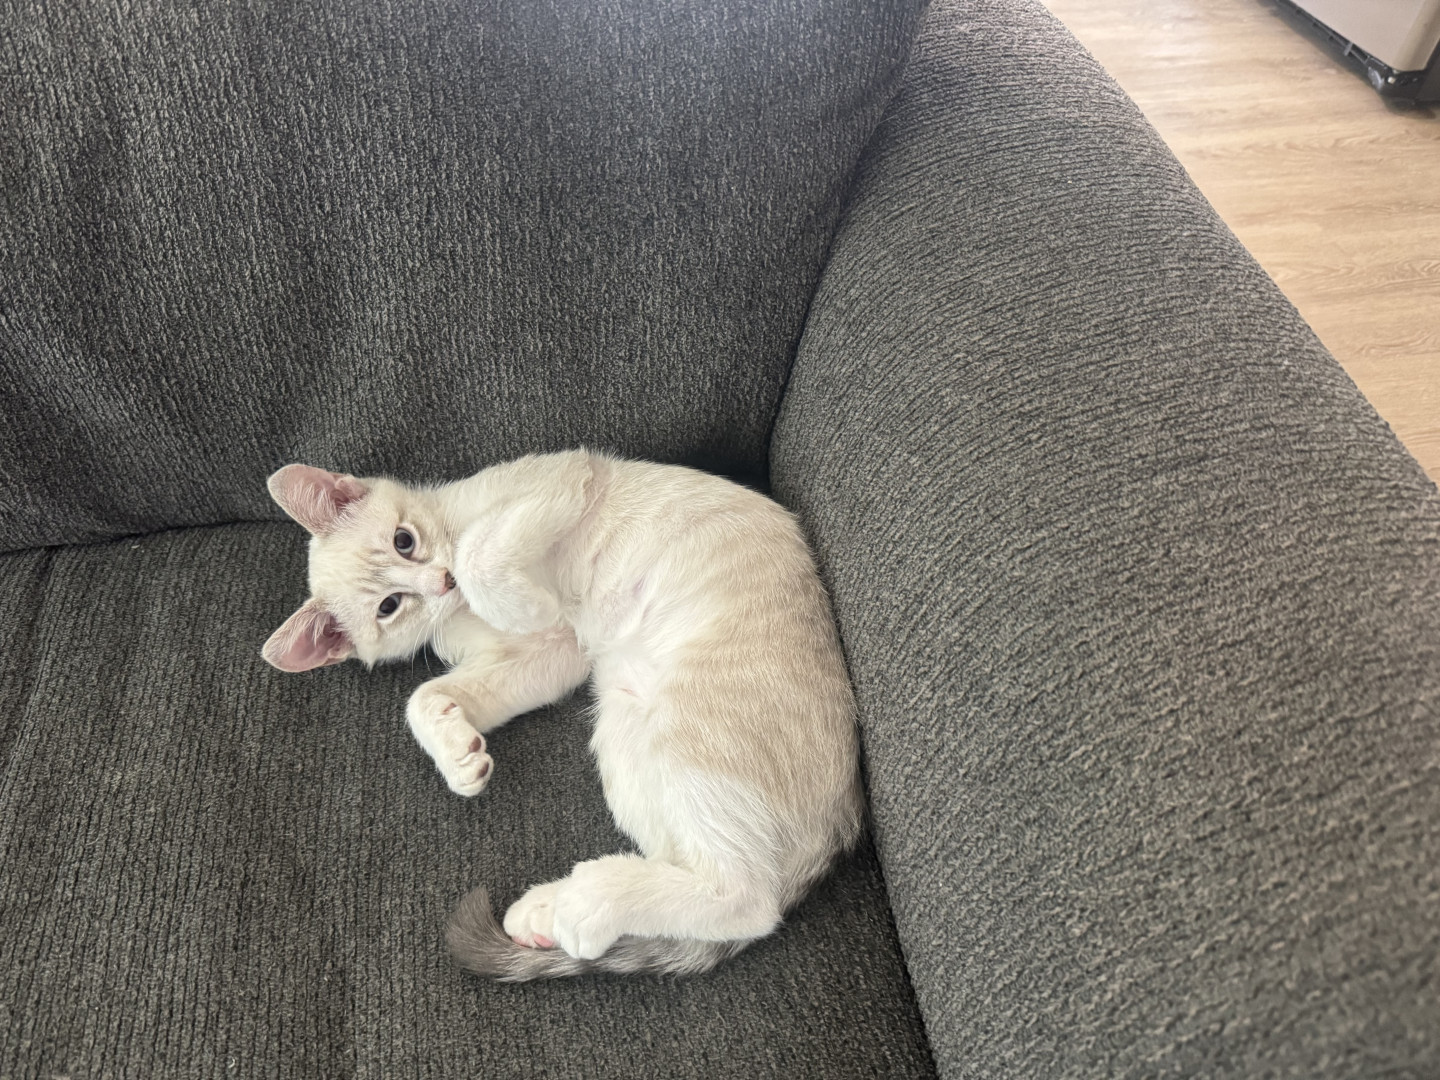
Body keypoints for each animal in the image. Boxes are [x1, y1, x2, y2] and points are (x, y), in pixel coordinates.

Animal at [262, 449, 862, 979]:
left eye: (403, 541)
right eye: (388, 606)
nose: (441, 583)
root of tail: (839, 822)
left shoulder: (568, 475)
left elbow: (478, 553)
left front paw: (511, 592)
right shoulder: (552, 653)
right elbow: (425, 697)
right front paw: (459, 756)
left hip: (687, 726)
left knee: (749, 901)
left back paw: (587, 901)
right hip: (627, 726)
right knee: (707, 876)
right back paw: (555, 909)